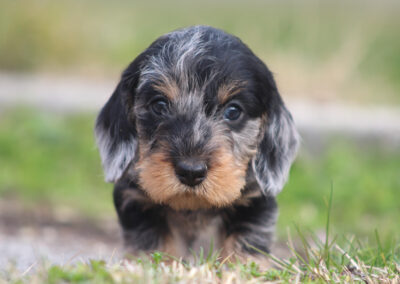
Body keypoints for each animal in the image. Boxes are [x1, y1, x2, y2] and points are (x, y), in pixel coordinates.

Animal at [95, 25, 298, 262]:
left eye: (233, 111)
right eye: (159, 105)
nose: (191, 171)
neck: (193, 208)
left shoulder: (254, 202)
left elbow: (245, 245)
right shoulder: (135, 200)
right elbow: (153, 245)